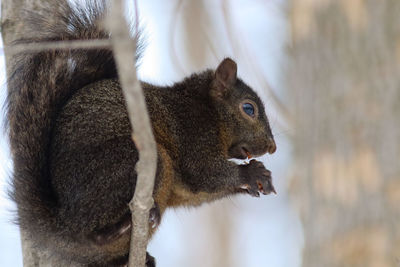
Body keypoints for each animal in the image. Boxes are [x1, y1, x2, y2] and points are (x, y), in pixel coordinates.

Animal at [5, 1, 276, 266]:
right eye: (248, 108)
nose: (272, 147)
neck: (207, 109)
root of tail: (64, 223)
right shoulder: (192, 131)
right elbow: (204, 173)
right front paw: (251, 173)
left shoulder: (183, 187)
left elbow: (197, 192)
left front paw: (258, 179)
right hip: (124, 167)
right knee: (92, 232)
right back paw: (120, 227)